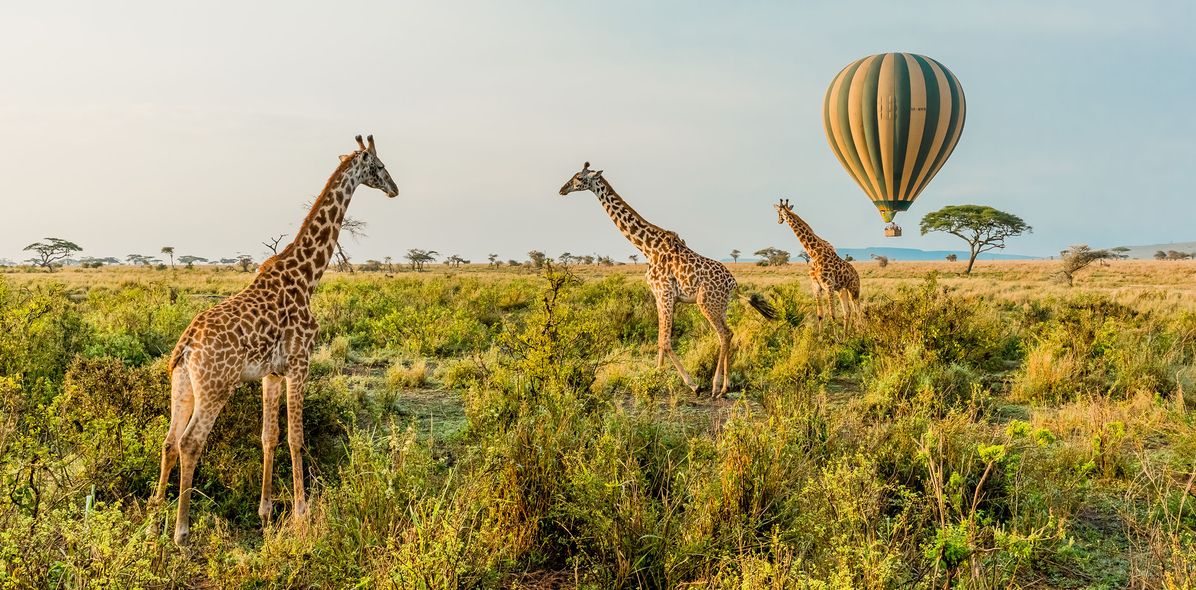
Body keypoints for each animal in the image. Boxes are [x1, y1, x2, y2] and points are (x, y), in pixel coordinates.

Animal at [148, 134, 401, 543]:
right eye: (378, 166)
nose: (394, 189)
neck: (307, 277)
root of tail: (186, 346)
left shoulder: (271, 373)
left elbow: (270, 436)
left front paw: (266, 513)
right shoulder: (300, 363)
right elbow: (297, 438)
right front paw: (302, 513)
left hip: (182, 384)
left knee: (169, 442)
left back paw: (155, 518)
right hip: (216, 387)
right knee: (190, 443)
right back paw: (181, 533)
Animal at [557, 161, 775, 394]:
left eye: (579, 178)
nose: (562, 190)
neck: (646, 247)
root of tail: (734, 283)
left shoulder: (665, 293)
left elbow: (665, 341)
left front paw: (692, 384)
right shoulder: (659, 295)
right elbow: (660, 339)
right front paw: (657, 374)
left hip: (706, 302)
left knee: (724, 334)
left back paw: (715, 386)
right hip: (720, 305)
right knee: (727, 334)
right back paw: (726, 386)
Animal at [775, 196, 861, 325]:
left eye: (778, 212)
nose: (779, 221)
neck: (814, 254)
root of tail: (857, 275)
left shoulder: (829, 286)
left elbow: (832, 315)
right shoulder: (816, 287)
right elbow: (820, 315)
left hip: (854, 290)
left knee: (858, 311)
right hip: (842, 290)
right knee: (848, 312)